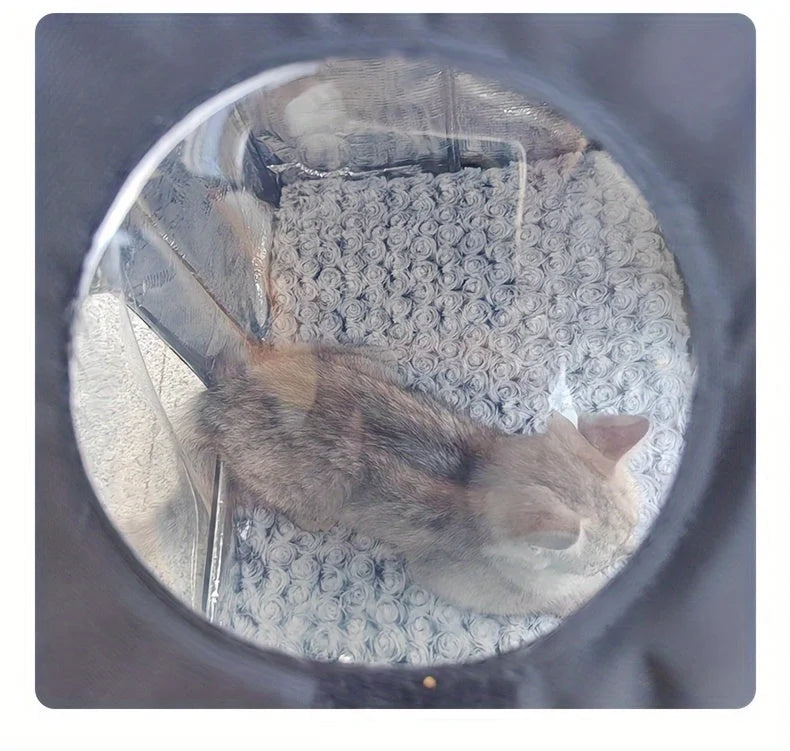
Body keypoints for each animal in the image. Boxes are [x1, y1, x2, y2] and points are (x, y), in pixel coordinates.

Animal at [178, 344, 648, 620]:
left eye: (631, 541)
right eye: (603, 562)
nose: (631, 556)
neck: (478, 469)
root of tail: (222, 397)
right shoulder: (451, 581)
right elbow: (561, 598)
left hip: (367, 368)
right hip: (321, 498)